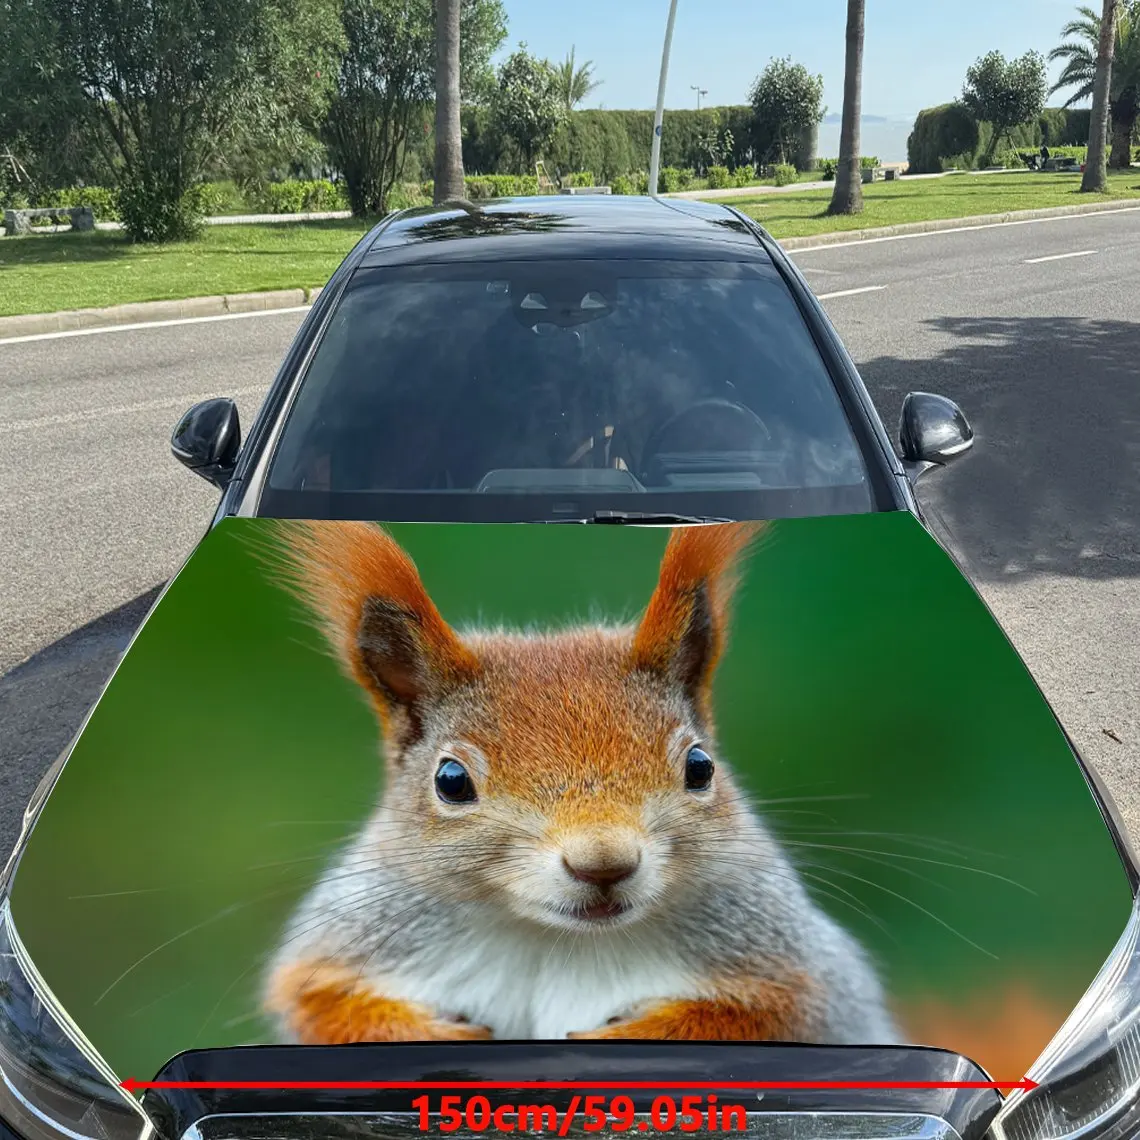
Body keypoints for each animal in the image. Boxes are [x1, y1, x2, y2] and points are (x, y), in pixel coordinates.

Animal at [261, 519, 899, 1045]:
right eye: (451, 781)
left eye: (700, 767)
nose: (603, 863)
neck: (553, 940)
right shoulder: (349, 938)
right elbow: (320, 1004)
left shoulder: (801, 968)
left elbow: (774, 1013)